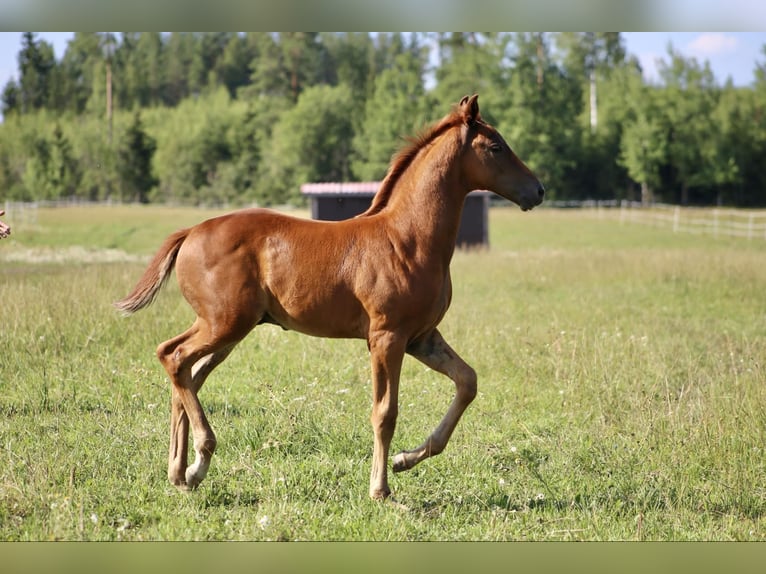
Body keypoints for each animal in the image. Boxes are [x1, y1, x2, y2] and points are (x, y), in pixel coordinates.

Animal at [115, 94, 544, 500]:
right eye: (496, 147)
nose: (538, 190)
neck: (408, 239)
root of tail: (190, 232)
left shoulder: (422, 337)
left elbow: (467, 381)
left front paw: (406, 460)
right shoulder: (386, 337)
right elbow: (385, 412)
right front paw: (380, 488)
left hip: (226, 329)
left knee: (187, 373)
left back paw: (183, 473)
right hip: (225, 323)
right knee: (174, 356)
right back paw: (199, 456)